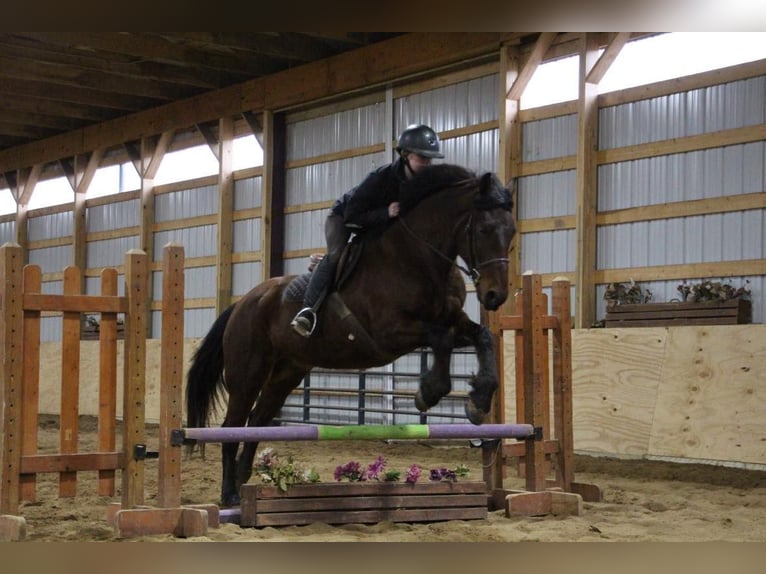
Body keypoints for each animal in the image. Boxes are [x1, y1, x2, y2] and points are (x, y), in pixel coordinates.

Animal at [185, 164, 516, 506]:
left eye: (512, 232)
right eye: (484, 229)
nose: (495, 296)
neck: (417, 258)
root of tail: (244, 302)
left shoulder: (453, 321)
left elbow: (481, 337)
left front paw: (478, 401)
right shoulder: (389, 333)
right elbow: (441, 339)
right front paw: (429, 392)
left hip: (285, 374)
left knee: (257, 423)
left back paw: (242, 485)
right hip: (248, 374)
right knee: (232, 427)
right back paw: (229, 495)